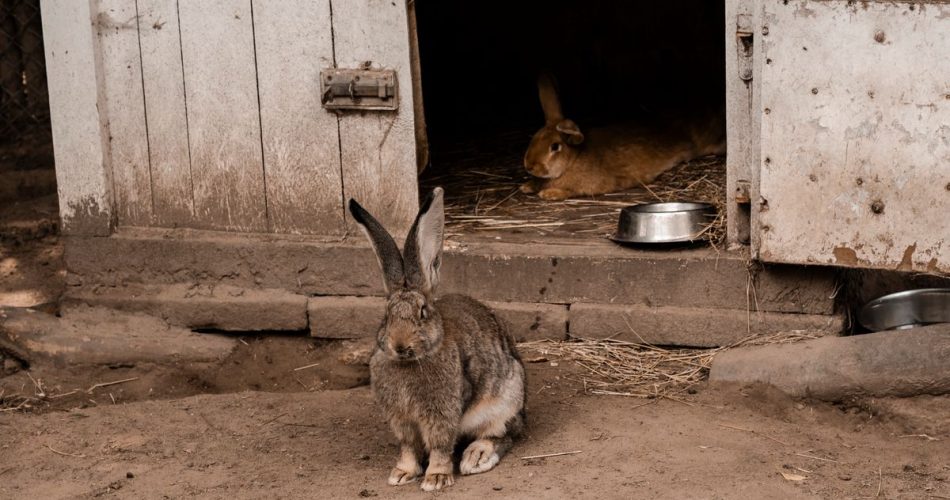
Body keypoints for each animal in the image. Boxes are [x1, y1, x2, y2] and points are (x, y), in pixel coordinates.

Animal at [348, 187, 526, 492]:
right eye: (386, 315)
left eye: (423, 312)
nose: (399, 345)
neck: (413, 362)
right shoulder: (402, 420)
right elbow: (408, 446)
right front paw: (402, 473)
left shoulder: (441, 415)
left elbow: (441, 446)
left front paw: (436, 478)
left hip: (505, 400)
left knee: (504, 434)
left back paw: (476, 457)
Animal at [521, 74, 726, 201]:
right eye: (534, 138)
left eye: (555, 146)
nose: (529, 166)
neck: (573, 160)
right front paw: (526, 186)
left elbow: (572, 191)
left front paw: (549, 193)